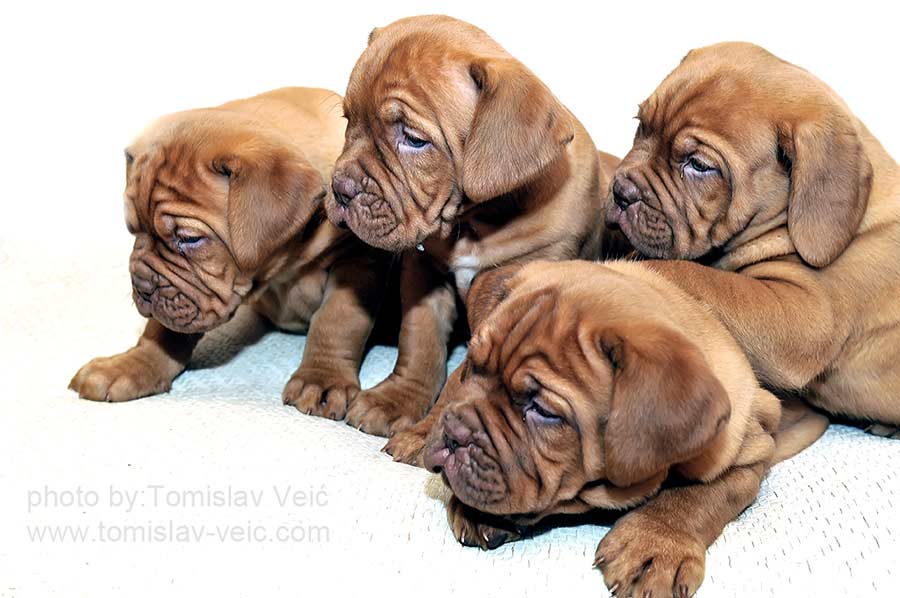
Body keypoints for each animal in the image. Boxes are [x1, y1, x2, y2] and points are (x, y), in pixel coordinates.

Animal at [70, 87, 386, 415]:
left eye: (190, 239)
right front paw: (132, 364)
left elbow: (337, 320)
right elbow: (163, 329)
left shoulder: (356, 261)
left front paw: (322, 378)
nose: (142, 289)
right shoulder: (184, 295)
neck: (284, 264)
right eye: (133, 230)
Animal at [327, 15, 623, 440]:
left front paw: (423, 437)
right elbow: (419, 341)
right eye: (348, 120)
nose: (340, 190)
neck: (473, 224)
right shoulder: (425, 272)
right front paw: (396, 401)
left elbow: (465, 377)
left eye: (414, 140)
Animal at [422, 260, 827, 597]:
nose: (454, 435)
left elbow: (698, 495)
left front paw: (654, 543)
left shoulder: (749, 454)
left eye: (544, 412)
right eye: (471, 365)